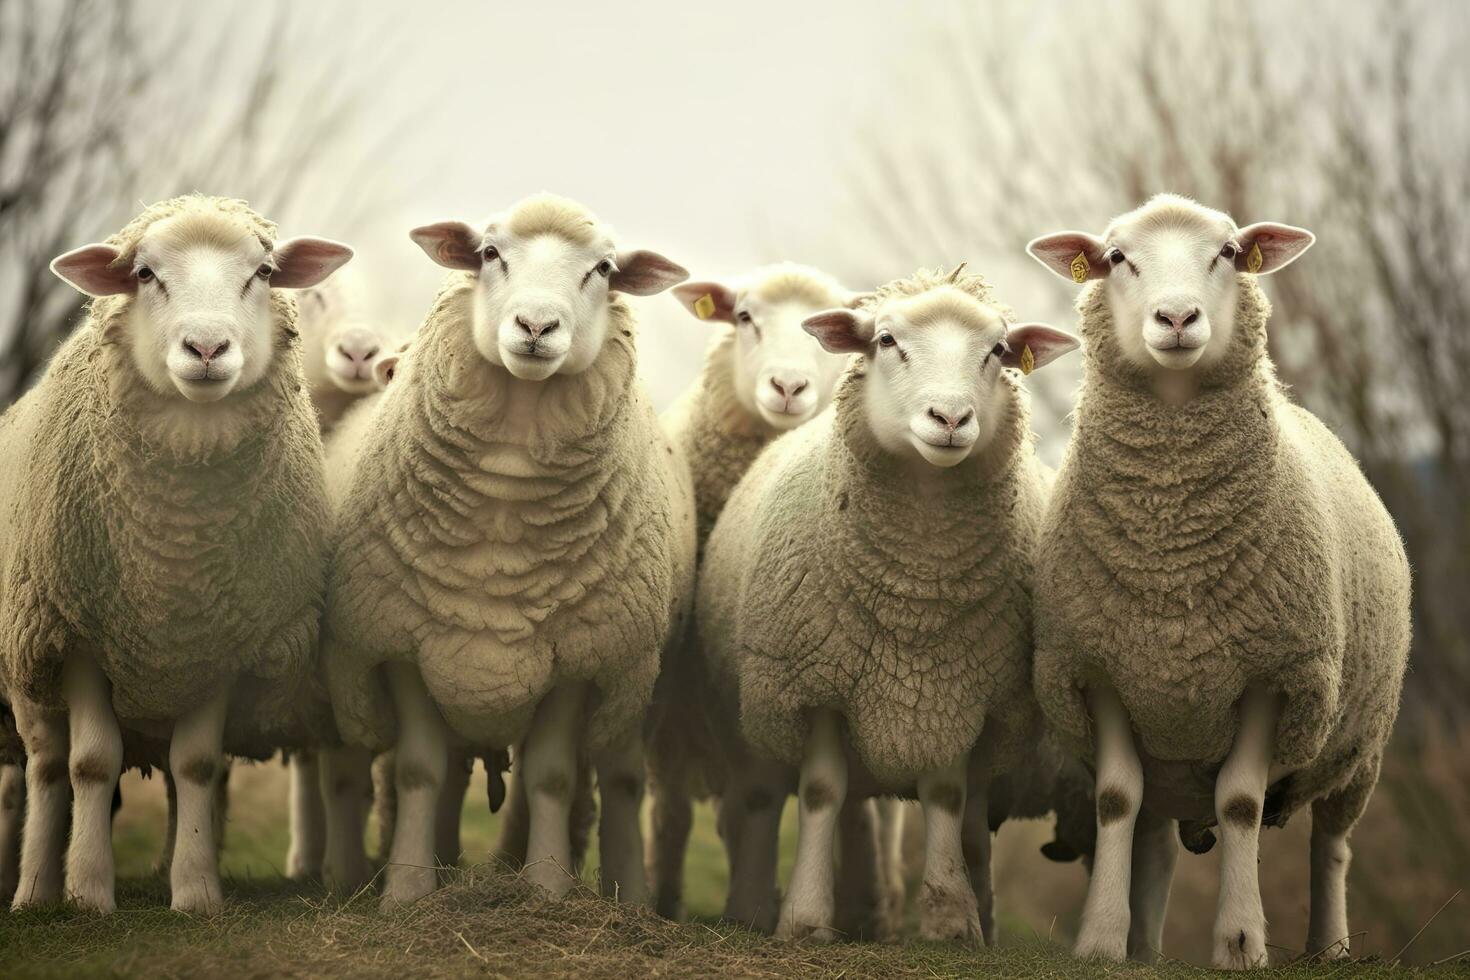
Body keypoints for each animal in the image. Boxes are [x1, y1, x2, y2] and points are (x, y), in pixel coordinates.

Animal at [0, 195, 349, 916]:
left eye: (262, 272)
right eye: (144, 273)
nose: (207, 348)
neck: (175, 555)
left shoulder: (217, 640)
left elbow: (195, 765)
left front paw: (194, 891)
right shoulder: (80, 636)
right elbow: (91, 763)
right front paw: (89, 893)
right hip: (30, 649)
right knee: (44, 770)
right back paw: (35, 891)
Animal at [321, 193, 693, 910]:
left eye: (604, 269)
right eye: (490, 253)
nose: (536, 325)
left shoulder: (578, 656)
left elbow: (550, 777)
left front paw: (545, 890)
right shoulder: (403, 645)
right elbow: (419, 771)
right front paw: (407, 891)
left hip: (634, 681)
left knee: (621, 779)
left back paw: (631, 900)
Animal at [643, 262, 858, 928]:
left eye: (828, 332)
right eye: (743, 317)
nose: (788, 386)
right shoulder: (681, 699)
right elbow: (679, 814)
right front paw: (668, 901)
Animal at [699, 265, 1081, 940]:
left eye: (997, 351)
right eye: (885, 341)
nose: (950, 417)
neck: (915, 598)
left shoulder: (956, 695)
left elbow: (947, 799)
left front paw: (952, 919)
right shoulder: (817, 687)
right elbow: (822, 792)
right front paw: (805, 920)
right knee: (774, 801)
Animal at [1023, 195, 1411, 969]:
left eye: (1229, 252)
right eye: (1117, 257)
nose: (1177, 318)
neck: (1173, 558)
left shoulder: (1274, 673)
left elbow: (1240, 804)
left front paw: (1240, 943)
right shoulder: (1103, 669)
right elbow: (1116, 800)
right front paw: (1102, 941)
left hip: (1357, 747)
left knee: (1331, 843)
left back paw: (1329, 946)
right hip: (1172, 754)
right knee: (1156, 836)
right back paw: (1145, 945)